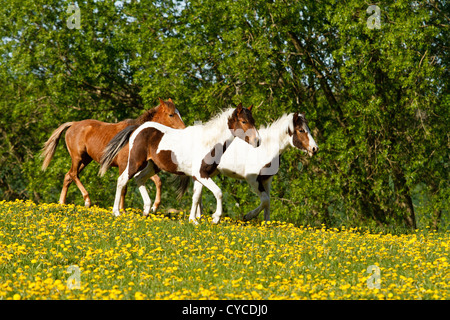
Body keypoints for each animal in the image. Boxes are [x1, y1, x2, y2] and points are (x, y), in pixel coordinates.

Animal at [40, 99, 185, 211]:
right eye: (171, 115)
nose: (183, 129)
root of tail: (73, 124)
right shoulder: (124, 165)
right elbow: (124, 187)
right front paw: (122, 210)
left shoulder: (139, 167)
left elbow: (158, 181)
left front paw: (154, 206)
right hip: (77, 157)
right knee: (73, 174)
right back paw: (87, 200)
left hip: (85, 160)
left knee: (68, 177)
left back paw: (61, 203)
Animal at [98, 102, 260, 222]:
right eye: (243, 121)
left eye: (253, 121)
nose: (257, 141)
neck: (209, 143)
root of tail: (138, 128)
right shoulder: (201, 175)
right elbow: (218, 192)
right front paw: (216, 218)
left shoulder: (199, 176)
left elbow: (196, 197)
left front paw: (193, 220)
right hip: (136, 162)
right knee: (122, 180)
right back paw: (117, 212)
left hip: (152, 166)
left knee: (139, 179)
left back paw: (147, 210)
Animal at [188, 112, 318, 222]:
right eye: (301, 130)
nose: (314, 148)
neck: (266, 148)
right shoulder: (252, 179)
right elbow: (265, 200)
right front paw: (248, 216)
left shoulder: (266, 179)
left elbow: (268, 202)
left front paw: (267, 223)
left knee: (198, 194)